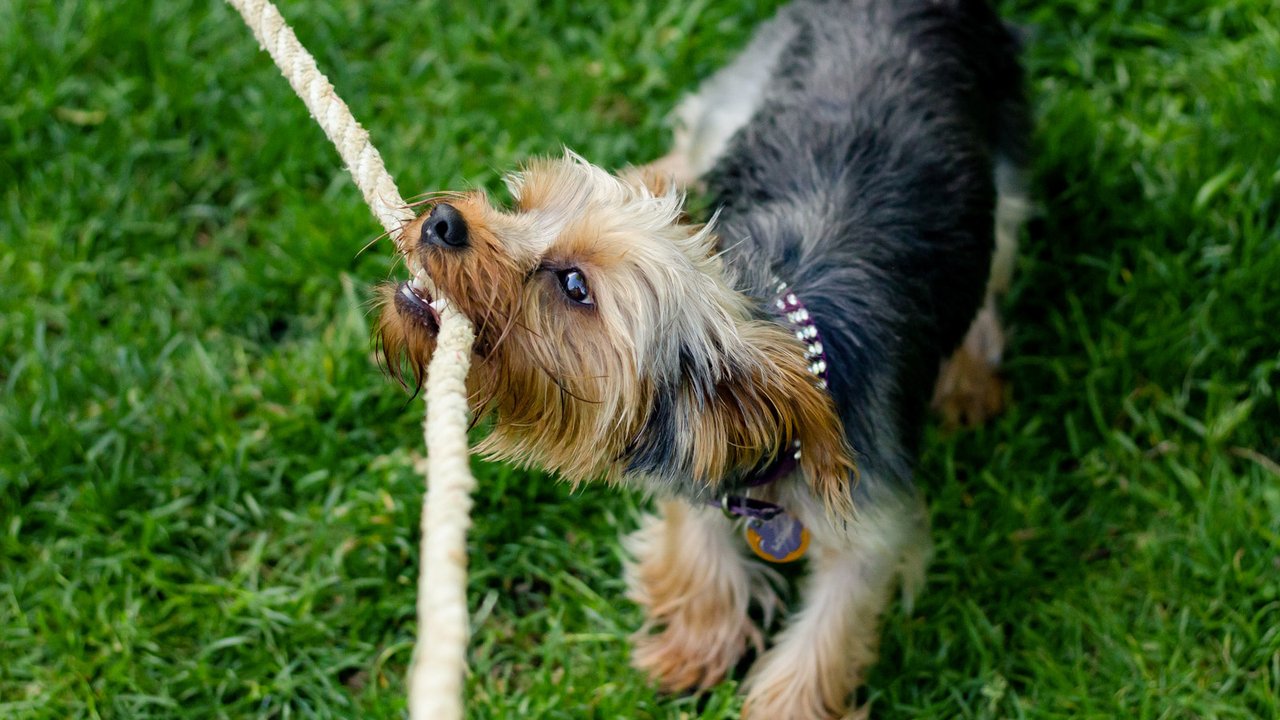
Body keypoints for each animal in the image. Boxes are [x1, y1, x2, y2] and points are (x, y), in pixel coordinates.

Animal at [376, 1, 1029, 712]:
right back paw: (653, 175)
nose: (442, 221)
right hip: (740, 98)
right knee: (695, 138)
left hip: (1003, 171)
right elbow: (699, 549)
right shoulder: (700, 461)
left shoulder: (871, 528)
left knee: (999, 259)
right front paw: (695, 644)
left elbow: (826, 636)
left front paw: (783, 705)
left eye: (575, 286)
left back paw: (970, 380)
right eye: (521, 206)